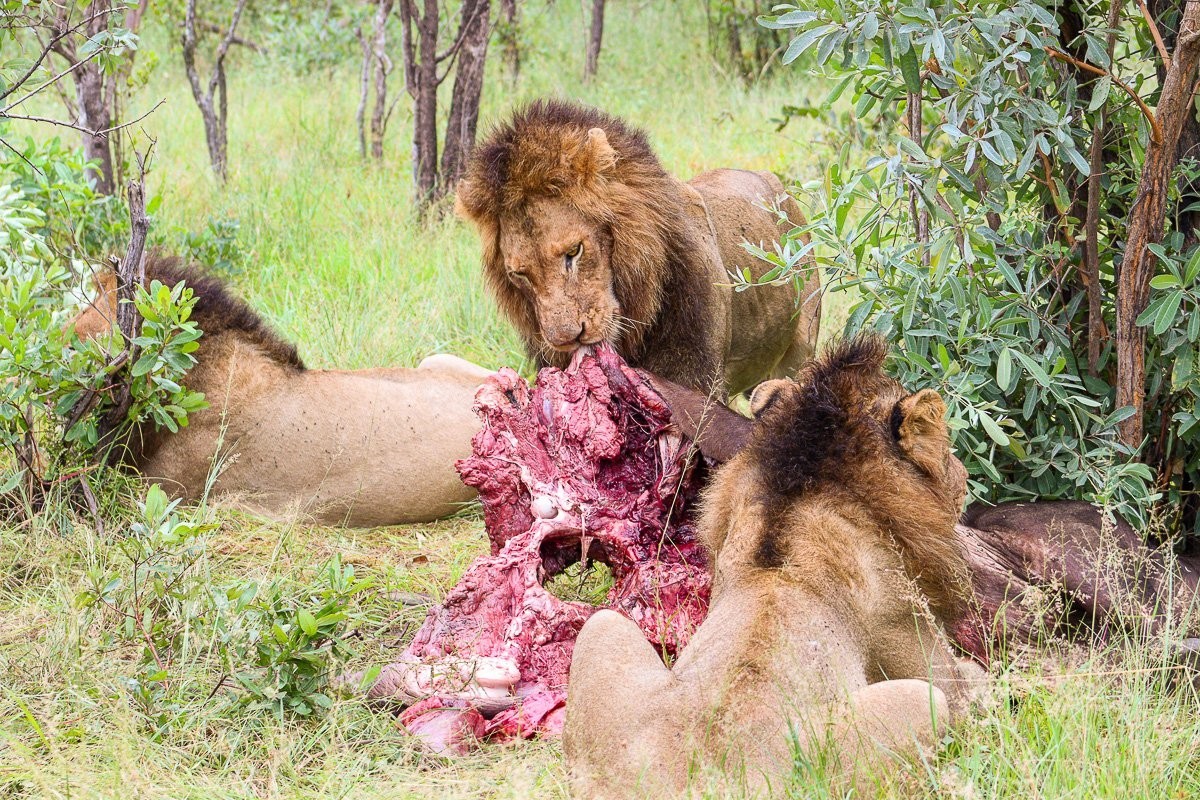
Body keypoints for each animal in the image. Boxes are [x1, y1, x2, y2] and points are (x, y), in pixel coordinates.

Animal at [563, 336, 983, 798]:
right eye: (945, 445)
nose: (965, 473)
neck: (804, 493)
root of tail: (699, 783)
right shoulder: (909, 630)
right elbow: (974, 684)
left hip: (602, 626)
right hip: (917, 707)